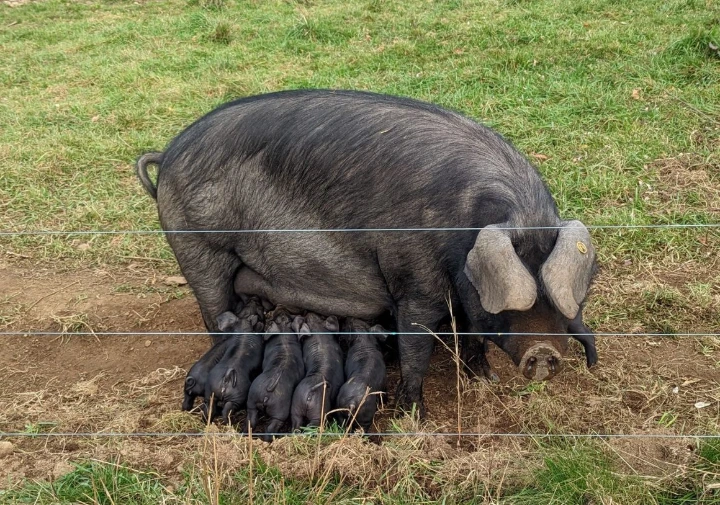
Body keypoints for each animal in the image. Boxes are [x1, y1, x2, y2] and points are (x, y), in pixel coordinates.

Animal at [136, 89, 597, 416]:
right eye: (511, 305)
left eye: (559, 303)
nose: (544, 352)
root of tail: (169, 152)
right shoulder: (413, 280)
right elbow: (416, 345)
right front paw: (413, 414)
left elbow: (471, 336)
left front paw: (486, 380)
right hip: (197, 246)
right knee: (214, 312)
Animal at [246, 307, 305, 441]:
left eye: (286, 317)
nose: (280, 306)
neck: (283, 329)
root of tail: (267, 392)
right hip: (279, 411)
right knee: (271, 427)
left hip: (252, 398)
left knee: (251, 420)